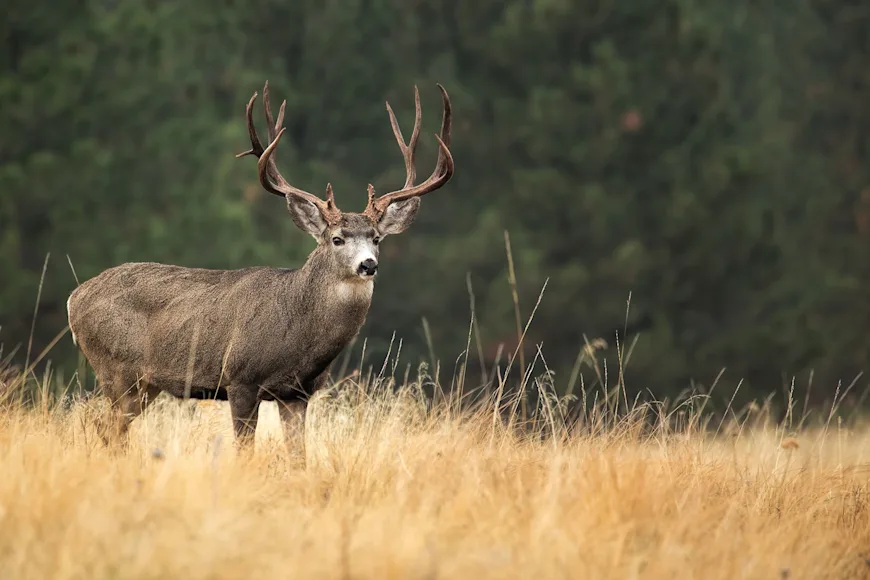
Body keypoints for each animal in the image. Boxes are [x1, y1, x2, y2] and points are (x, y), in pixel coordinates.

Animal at [66, 81, 454, 454]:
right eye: (337, 239)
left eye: (376, 238)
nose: (368, 264)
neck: (299, 334)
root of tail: (75, 298)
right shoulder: (240, 378)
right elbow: (244, 450)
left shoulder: (297, 393)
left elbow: (299, 456)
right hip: (116, 368)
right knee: (106, 426)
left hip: (143, 383)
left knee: (111, 429)